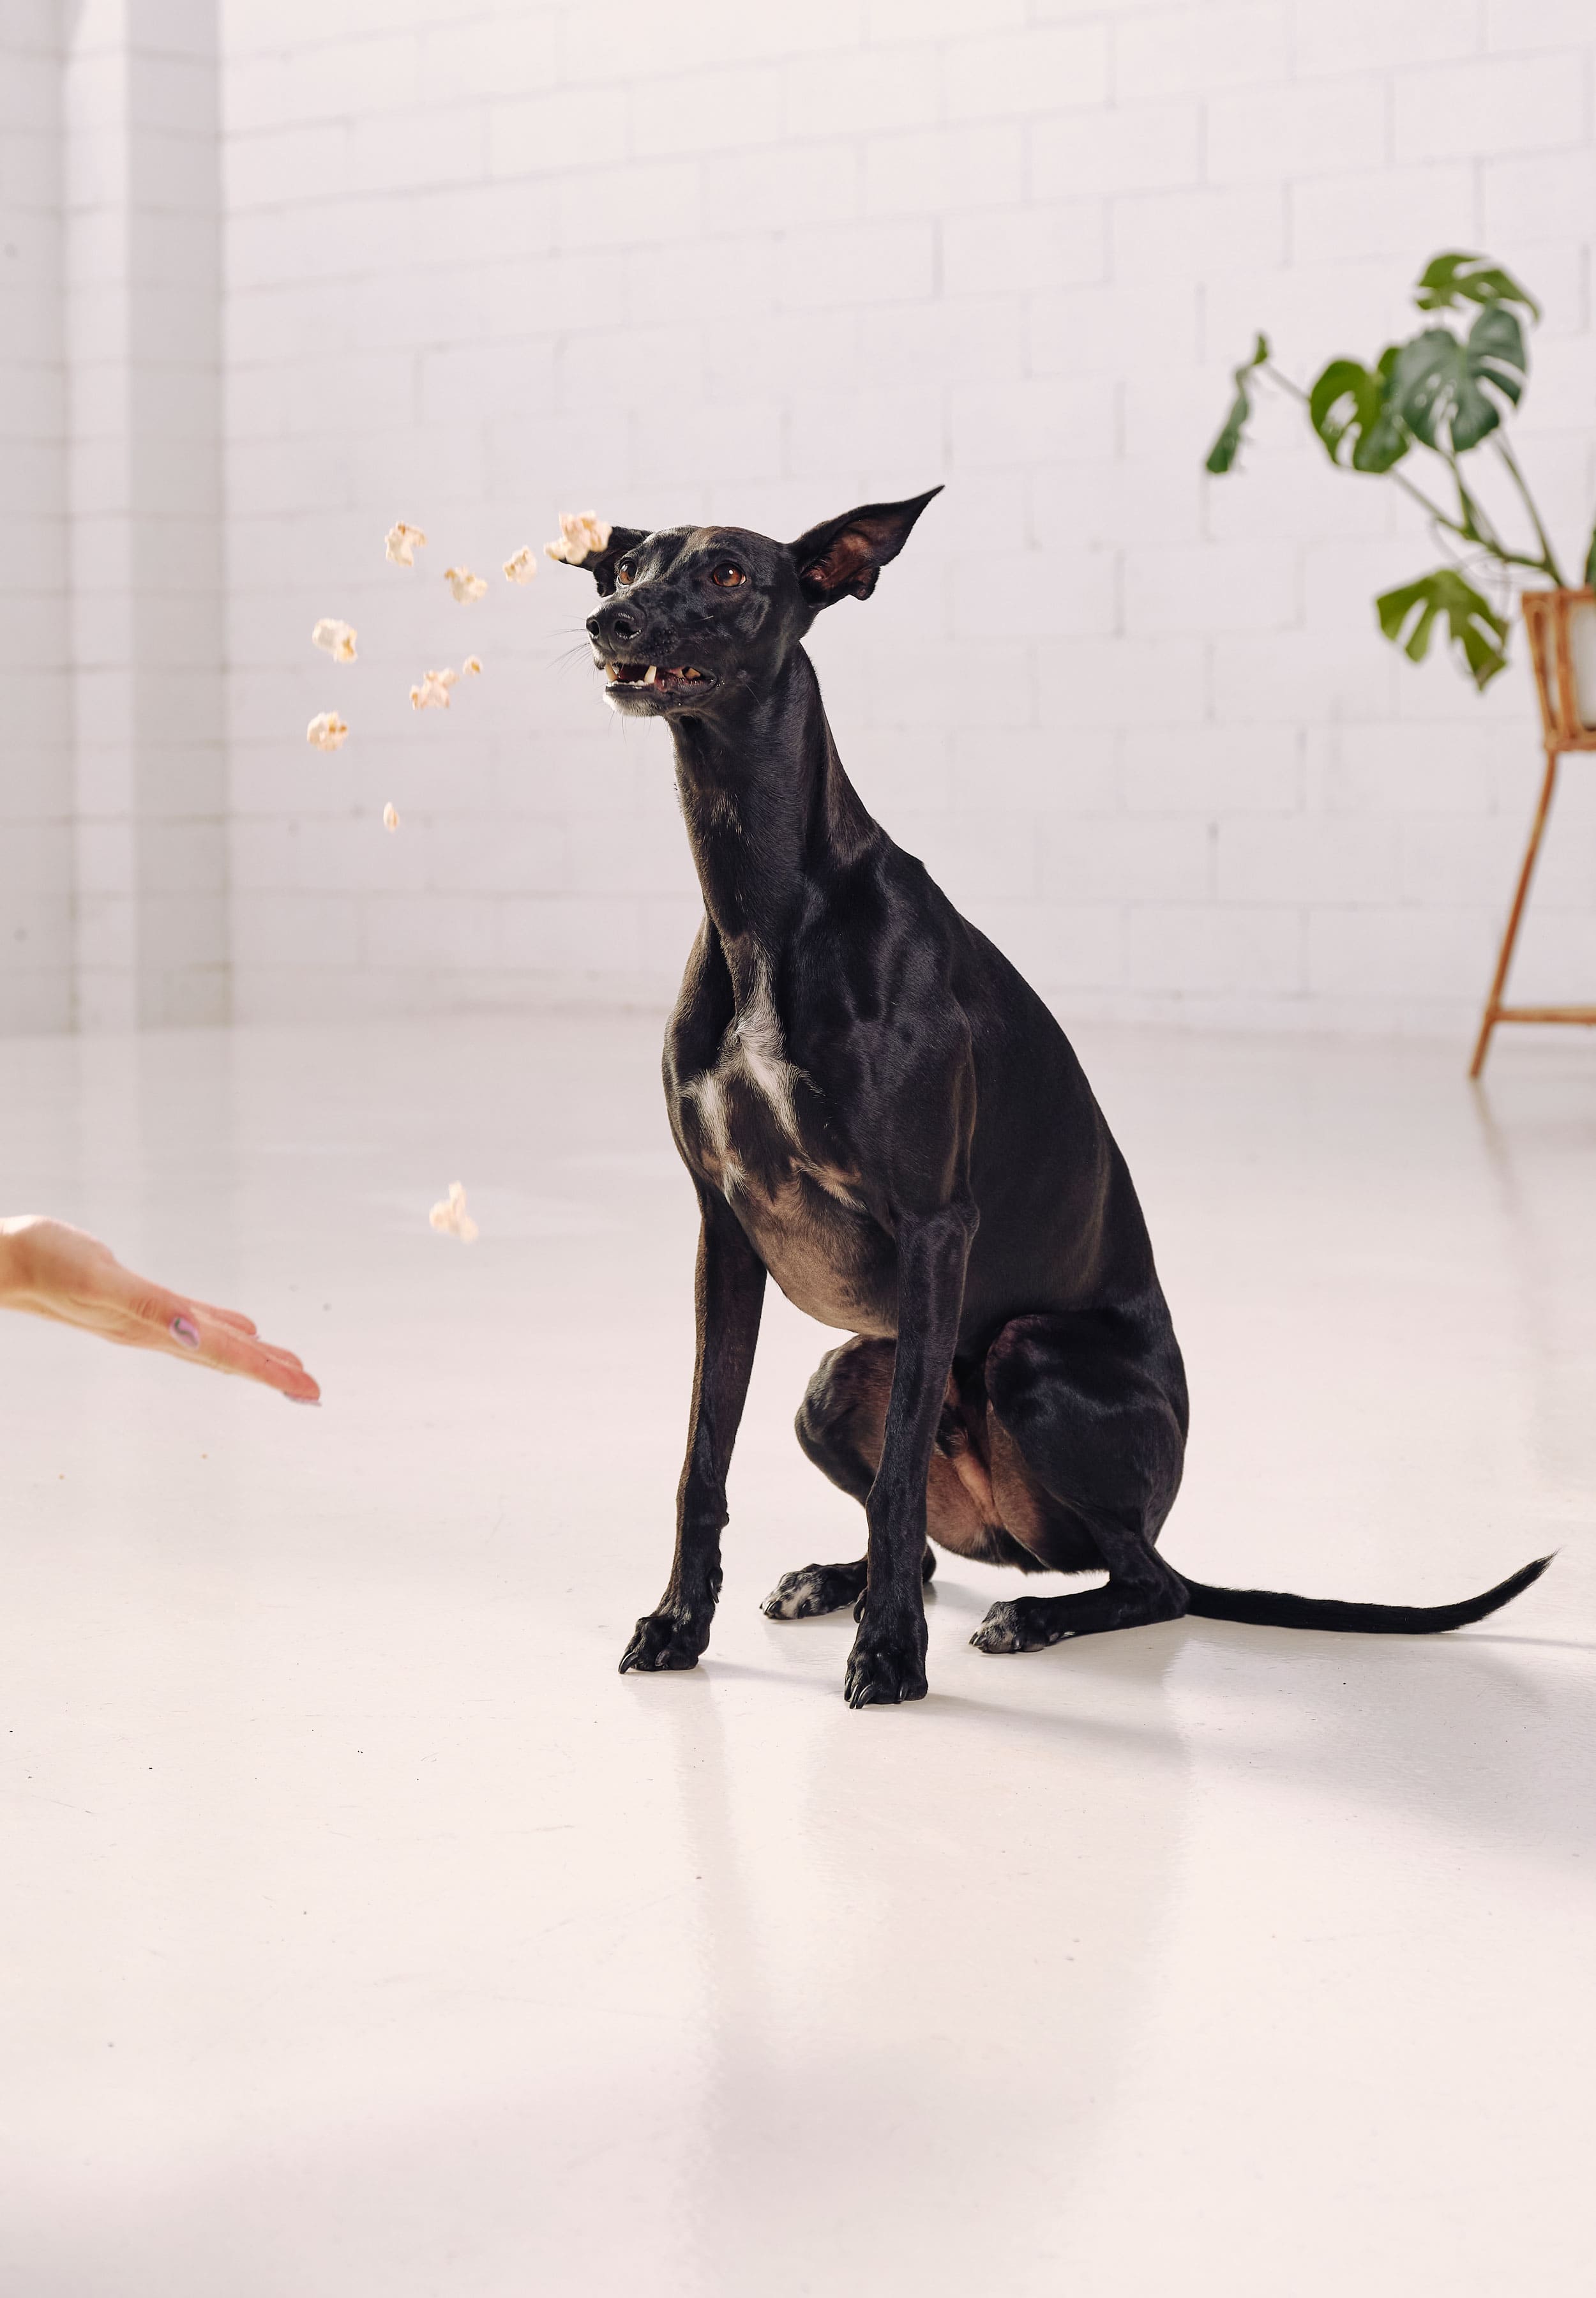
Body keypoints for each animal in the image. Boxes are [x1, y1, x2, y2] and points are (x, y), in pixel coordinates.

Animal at [562, 485, 1552, 1709]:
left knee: (1148, 1580)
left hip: (1030, 1357)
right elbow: (704, 1455)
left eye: (731, 573)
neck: (766, 903)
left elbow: (895, 1480)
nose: (611, 624)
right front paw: (678, 1621)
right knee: (939, 1536)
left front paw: (890, 1653)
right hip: (839, 1379)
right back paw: (846, 1580)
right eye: (622, 571)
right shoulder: (724, 1231)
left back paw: (1033, 1612)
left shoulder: (935, 1222)